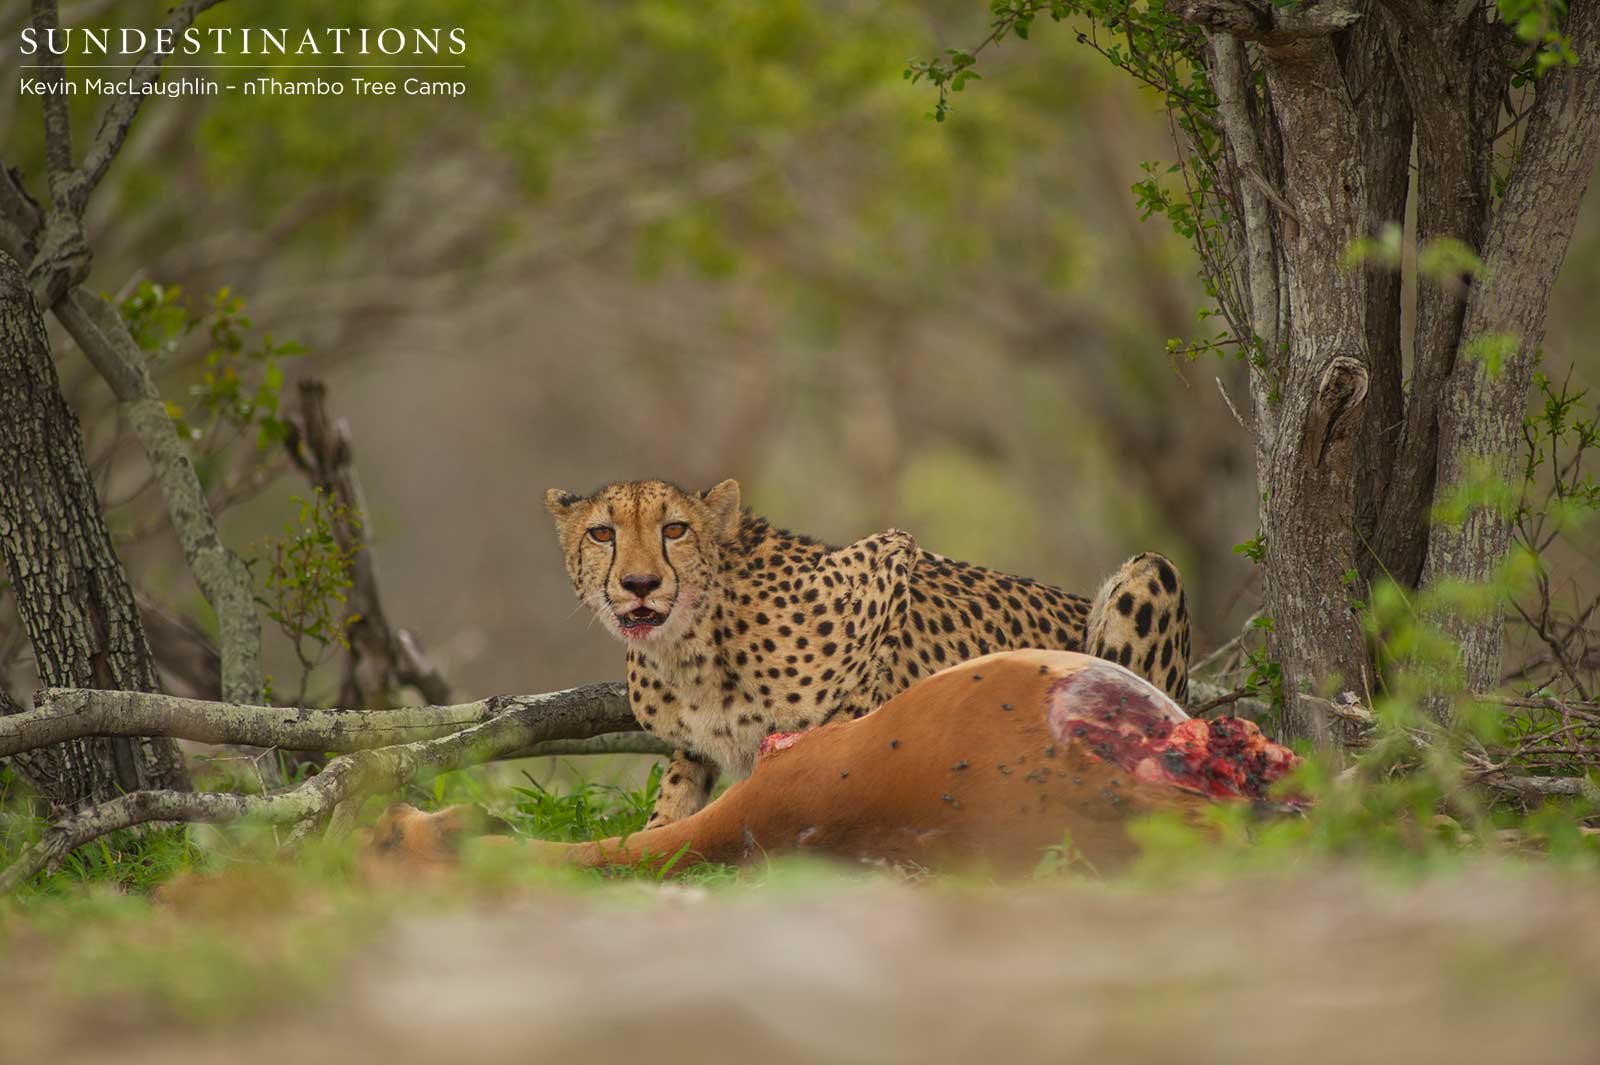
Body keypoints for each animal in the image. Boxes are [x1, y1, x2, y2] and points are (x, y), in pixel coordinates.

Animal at [545, 478, 1191, 827]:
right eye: (602, 534)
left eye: (674, 530)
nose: (640, 584)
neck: (692, 645)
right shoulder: (694, 745)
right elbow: (671, 806)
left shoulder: (889, 565)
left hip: (1151, 573)